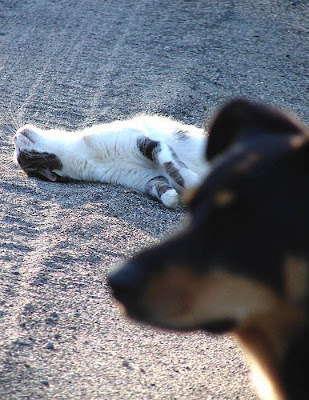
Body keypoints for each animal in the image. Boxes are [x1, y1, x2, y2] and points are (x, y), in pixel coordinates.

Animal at [13, 115, 208, 208]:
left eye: (19, 152)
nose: (14, 137)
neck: (82, 156)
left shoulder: (145, 143)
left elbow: (172, 165)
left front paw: (193, 183)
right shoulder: (147, 178)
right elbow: (160, 187)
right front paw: (172, 198)